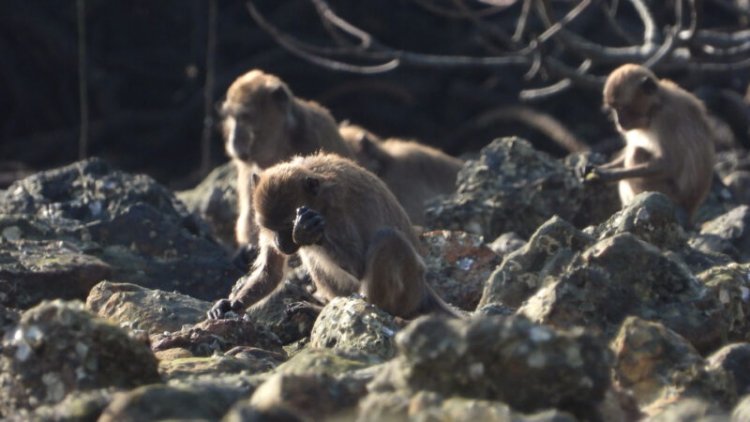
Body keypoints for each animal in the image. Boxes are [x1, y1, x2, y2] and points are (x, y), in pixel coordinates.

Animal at [207, 153, 459, 320]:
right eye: (270, 228)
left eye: (287, 227)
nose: (279, 242)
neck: (319, 199)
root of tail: (424, 289)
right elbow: (272, 271)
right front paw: (231, 304)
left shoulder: (337, 214)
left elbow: (359, 265)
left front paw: (306, 231)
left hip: (409, 287)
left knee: (387, 238)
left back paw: (378, 309)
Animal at [586, 64, 716, 223]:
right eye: (613, 109)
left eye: (622, 108)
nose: (618, 122)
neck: (656, 106)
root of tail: (690, 208)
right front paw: (596, 168)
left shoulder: (666, 117)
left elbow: (668, 165)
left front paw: (609, 175)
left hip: (670, 196)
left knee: (636, 153)